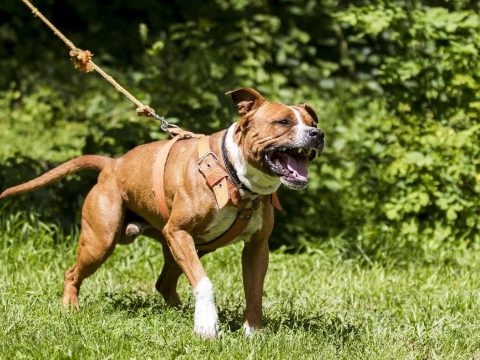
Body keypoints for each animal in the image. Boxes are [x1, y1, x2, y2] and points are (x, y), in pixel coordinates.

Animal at [0, 88, 324, 338]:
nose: (317, 134)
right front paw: (207, 325)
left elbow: (254, 291)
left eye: (312, 121)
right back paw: (71, 307)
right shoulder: (179, 232)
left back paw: (179, 312)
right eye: (282, 121)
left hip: (180, 248)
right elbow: (204, 283)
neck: (235, 178)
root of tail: (112, 164)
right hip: (102, 242)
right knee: (72, 273)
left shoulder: (256, 247)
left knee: (165, 283)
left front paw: (253, 332)